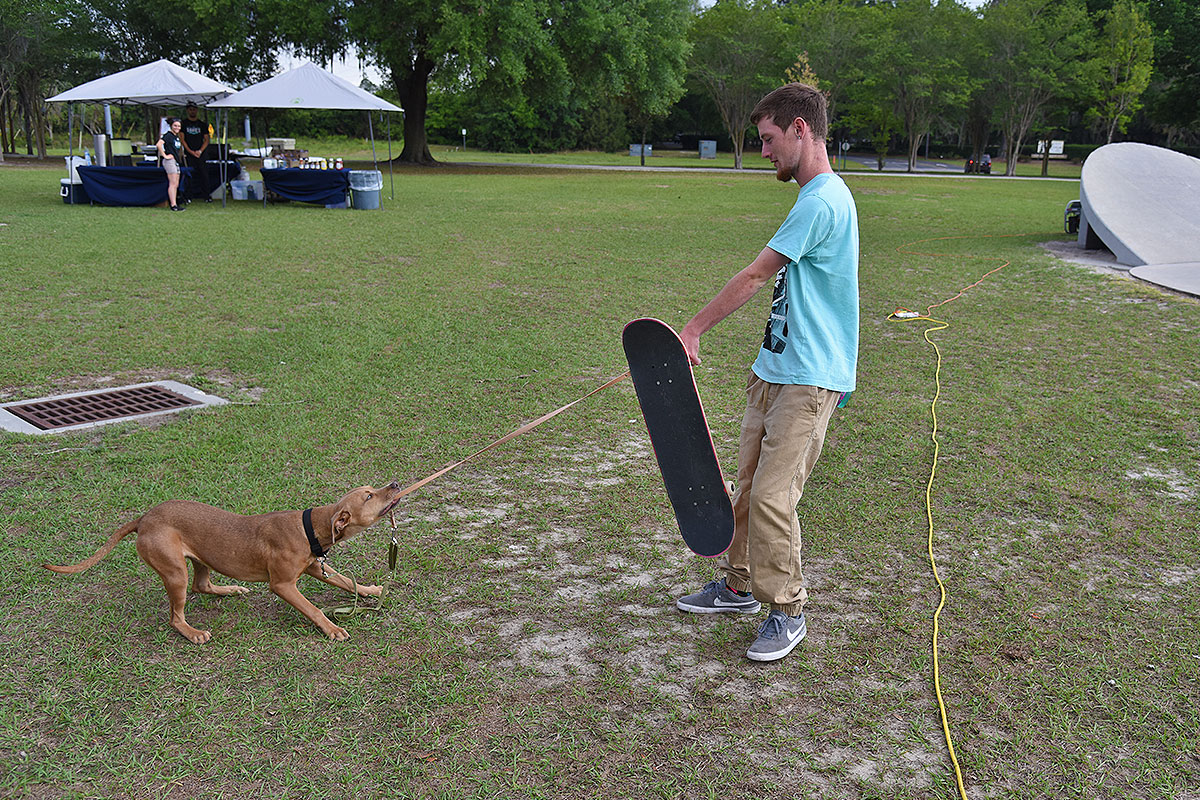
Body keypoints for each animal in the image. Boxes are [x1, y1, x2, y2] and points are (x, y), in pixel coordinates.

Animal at [44, 482, 405, 642]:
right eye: (369, 496)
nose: (396, 484)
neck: (310, 527)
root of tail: (143, 519)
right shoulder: (283, 585)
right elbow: (313, 608)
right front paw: (332, 628)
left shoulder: (318, 567)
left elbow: (345, 580)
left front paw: (373, 591)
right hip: (174, 571)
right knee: (175, 615)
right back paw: (192, 633)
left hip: (199, 558)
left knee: (202, 585)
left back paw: (230, 589)